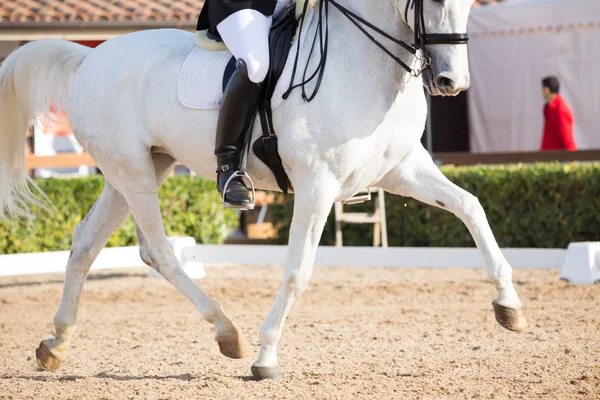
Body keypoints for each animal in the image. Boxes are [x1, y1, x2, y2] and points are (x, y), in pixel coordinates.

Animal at [0, 0, 524, 380]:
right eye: (431, 0)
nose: (452, 82)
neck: (367, 66)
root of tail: (91, 54)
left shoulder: (402, 171)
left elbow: (472, 206)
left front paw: (509, 306)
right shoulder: (317, 186)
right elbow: (298, 271)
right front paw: (267, 355)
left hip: (141, 166)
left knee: (86, 242)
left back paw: (55, 344)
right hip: (132, 171)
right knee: (158, 249)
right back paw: (228, 333)